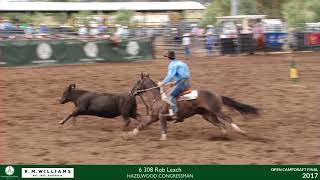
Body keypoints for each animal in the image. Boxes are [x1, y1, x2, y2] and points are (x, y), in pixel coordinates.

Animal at [124, 73, 258, 141]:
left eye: (138, 82)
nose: (131, 91)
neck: (158, 98)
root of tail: (217, 94)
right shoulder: (153, 117)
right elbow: (141, 125)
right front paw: (129, 134)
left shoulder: (162, 117)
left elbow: (163, 128)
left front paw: (163, 139)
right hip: (208, 115)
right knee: (221, 124)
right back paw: (222, 137)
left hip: (216, 110)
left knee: (228, 119)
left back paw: (240, 131)